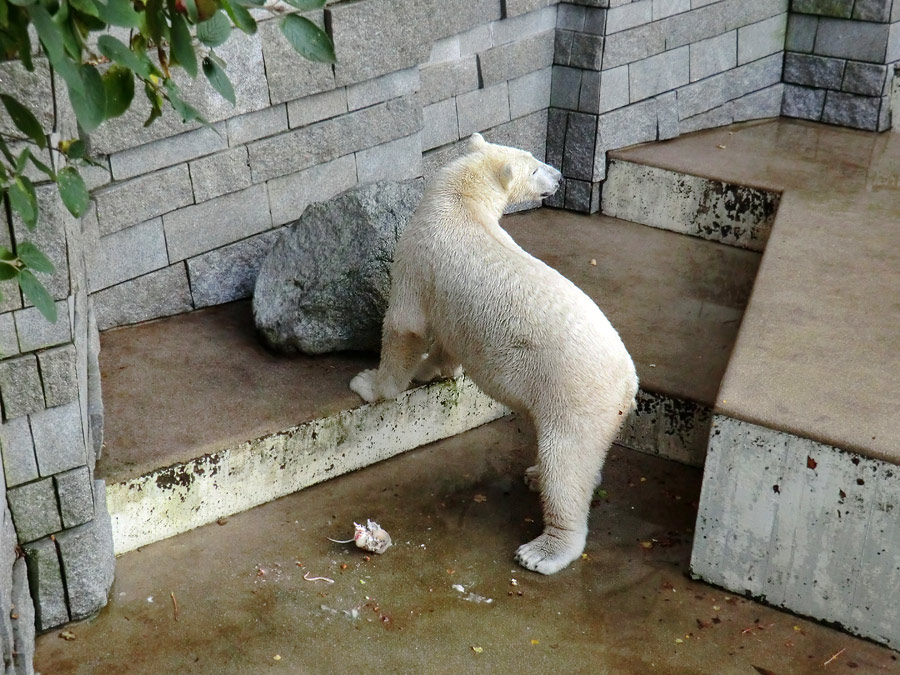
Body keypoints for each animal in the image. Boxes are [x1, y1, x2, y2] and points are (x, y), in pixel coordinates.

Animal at [348, 133, 636, 576]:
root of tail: (629, 382)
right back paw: (538, 475)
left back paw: (543, 548)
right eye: (535, 164)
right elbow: (448, 341)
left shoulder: (418, 255)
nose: (558, 174)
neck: (461, 203)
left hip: (576, 392)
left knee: (566, 460)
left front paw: (370, 384)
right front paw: (431, 369)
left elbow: (405, 325)